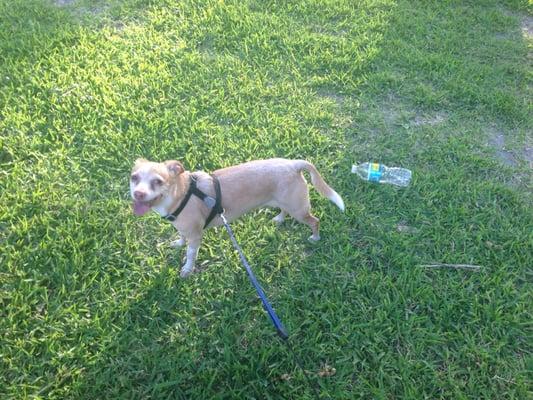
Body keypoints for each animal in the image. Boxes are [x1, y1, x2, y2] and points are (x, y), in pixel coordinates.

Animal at [131, 158, 342, 276]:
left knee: (315, 221)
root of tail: (294, 164)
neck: (182, 193)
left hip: (299, 210)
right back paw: (279, 219)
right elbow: (182, 238)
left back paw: (315, 237)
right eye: (134, 178)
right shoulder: (184, 229)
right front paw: (178, 244)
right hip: (284, 202)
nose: (138, 194)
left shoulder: (196, 235)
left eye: (158, 182)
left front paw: (187, 270)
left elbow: (191, 254)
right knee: (284, 211)